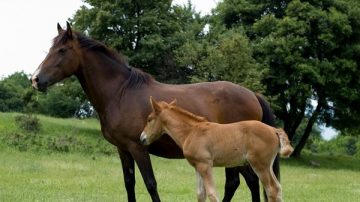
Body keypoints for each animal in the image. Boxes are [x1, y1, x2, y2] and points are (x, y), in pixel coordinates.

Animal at [140, 97, 292, 201]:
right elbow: (200, 194)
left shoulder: (205, 165)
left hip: (260, 165)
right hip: (267, 166)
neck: (191, 132)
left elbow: (212, 194)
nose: (142, 138)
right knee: (278, 188)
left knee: (271, 189)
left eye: (149, 119)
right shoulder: (197, 166)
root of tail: (274, 130)